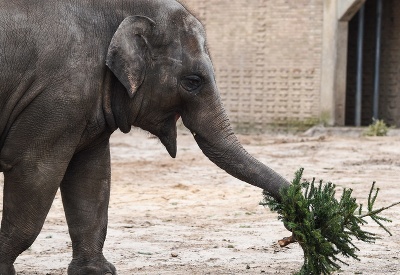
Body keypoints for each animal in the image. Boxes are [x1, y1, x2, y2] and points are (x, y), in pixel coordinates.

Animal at [0, 0, 290, 274]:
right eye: (193, 81)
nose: (291, 220)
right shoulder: (59, 97)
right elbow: (36, 172)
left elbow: (91, 177)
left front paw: (98, 272)